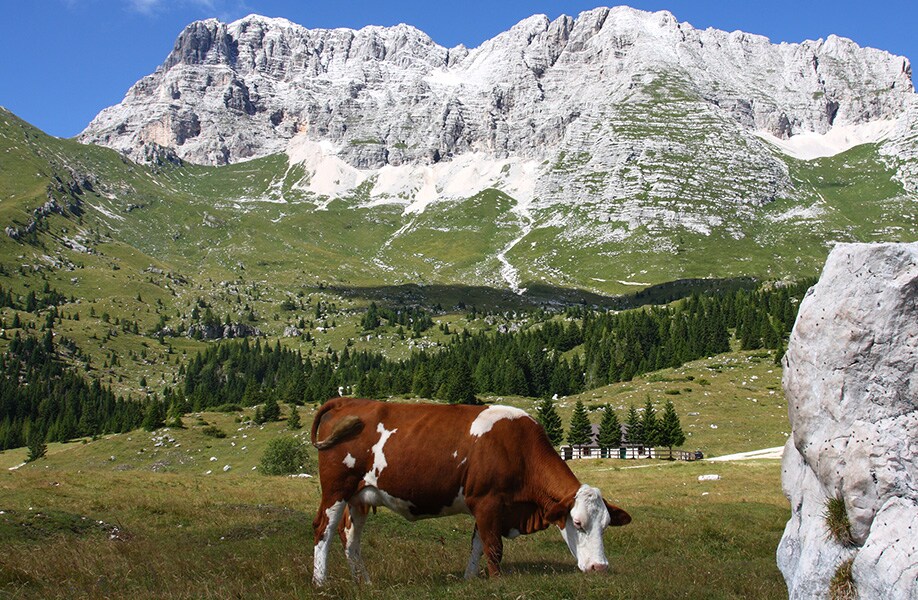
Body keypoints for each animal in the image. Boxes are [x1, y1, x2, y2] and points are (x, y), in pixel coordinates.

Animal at [310, 398, 632, 584]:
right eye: (577, 522)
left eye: (605, 525)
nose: (600, 567)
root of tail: (348, 400)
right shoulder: (488, 502)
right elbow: (493, 546)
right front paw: (497, 582)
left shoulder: (488, 507)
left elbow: (477, 544)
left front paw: (469, 580)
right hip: (336, 490)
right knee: (323, 530)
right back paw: (320, 583)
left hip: (359, 497)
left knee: (350, 539)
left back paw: (363, 583)